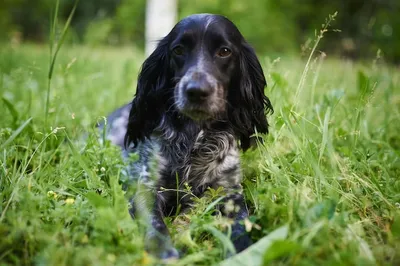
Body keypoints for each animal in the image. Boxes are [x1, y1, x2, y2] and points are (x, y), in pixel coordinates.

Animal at [101, 13, 274, 258]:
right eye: (179, 50)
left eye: (224, 51)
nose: (196, 91)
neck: (194, 139)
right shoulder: (147, 188)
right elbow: (155, 227)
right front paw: (167, 254)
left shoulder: (229, 192)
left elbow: (241, 226)